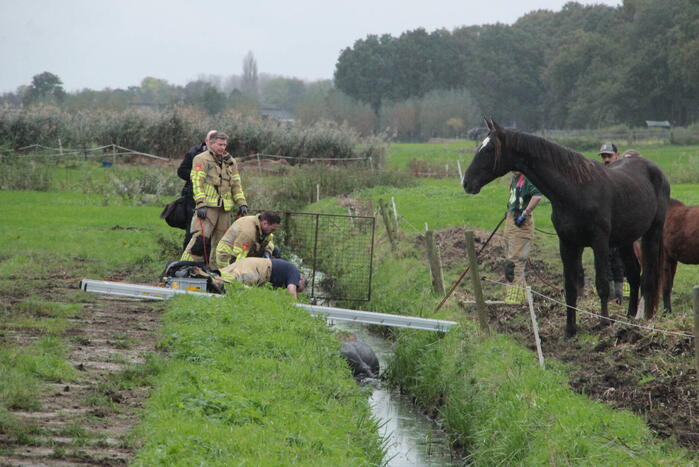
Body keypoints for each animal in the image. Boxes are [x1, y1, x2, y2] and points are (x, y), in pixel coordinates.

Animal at [462, 119, 670, 337]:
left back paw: (644, 319)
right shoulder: (568, 243)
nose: (466, 182)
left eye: (489, 149)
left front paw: (603, 323)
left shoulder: (600, 242)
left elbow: (602, 283)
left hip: (652, 233)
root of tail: (654, 170)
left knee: (648, 277)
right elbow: (570, 287)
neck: (575, 190)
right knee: (634, 274)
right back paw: (629, 316)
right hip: (625, 239)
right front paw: (570, 329)